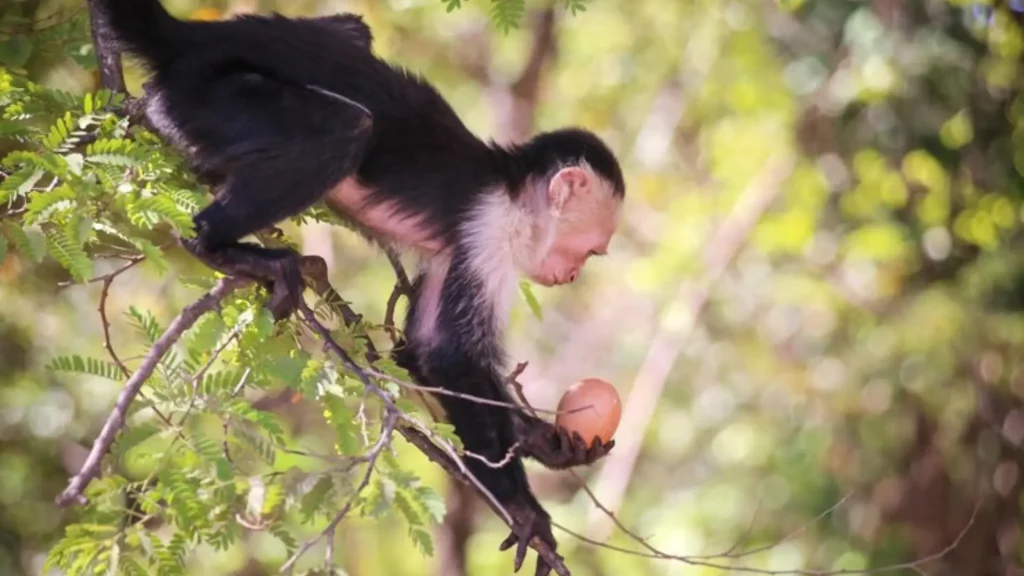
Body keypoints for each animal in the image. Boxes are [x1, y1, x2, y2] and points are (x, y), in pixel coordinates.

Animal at [97, 2, 626, 573]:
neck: (511, 191)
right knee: (345, 129)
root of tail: (194, 37)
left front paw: (545, 441)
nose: (572, 275)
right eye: (591, 252)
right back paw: (216, 244)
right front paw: (523, 508)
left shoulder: (462, 245)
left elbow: (418, 352)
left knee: (353, 31)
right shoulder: (492, 230)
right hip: (210, 93)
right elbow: (451, 360)